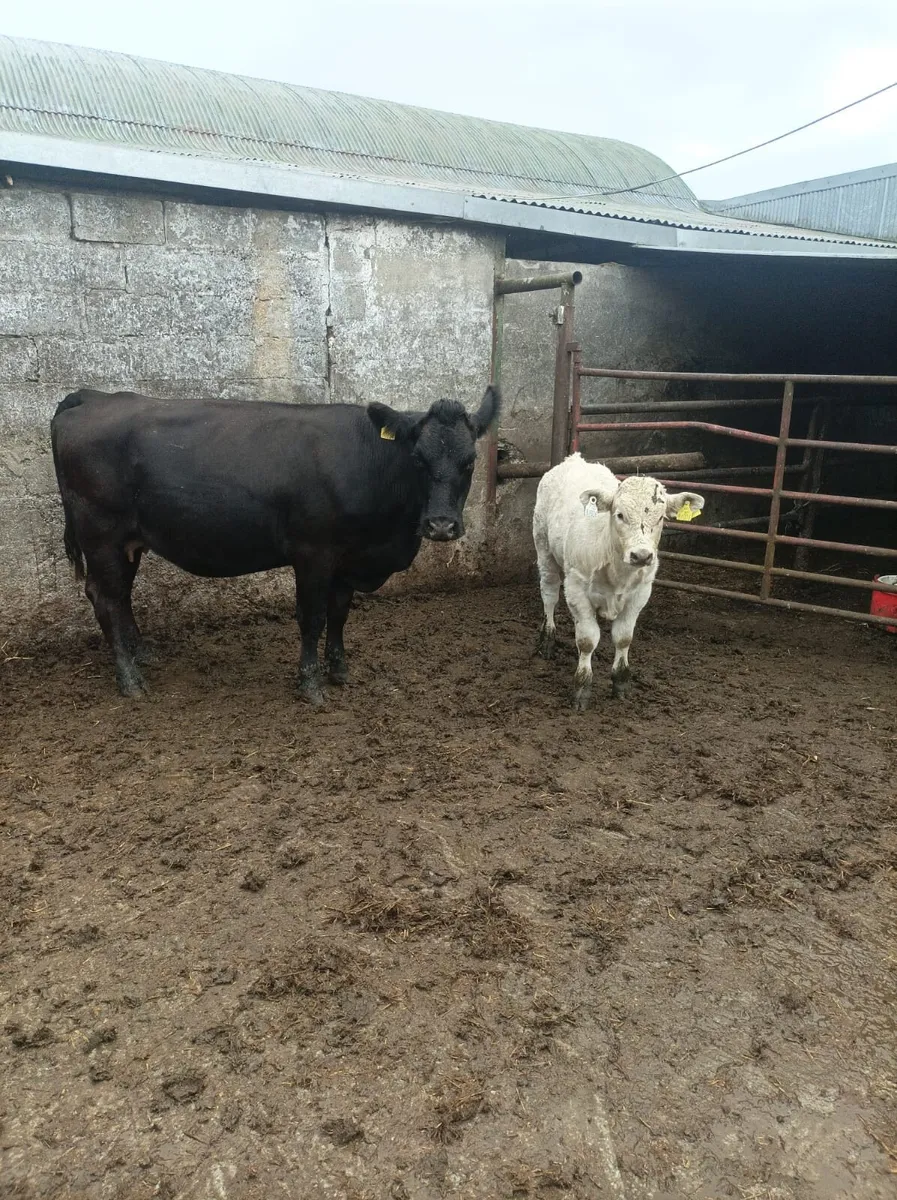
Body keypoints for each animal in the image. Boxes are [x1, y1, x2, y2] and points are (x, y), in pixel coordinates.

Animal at [50, 385, 500, 701]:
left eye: (470, 461)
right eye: (418, 459)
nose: (440, 525)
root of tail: (91, 397)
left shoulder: (348, 558)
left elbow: (340, 614)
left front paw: (340, 672)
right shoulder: (314, 552)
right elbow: (312, 617)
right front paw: (310, 685)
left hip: (129, 542)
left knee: (121, 597)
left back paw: (144, 654)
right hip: (101, 535)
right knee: (105, 598)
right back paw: (130, 679)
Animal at [532, 453, 704, 710]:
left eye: (660, 517)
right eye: (620, 515)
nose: (641, 555)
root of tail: (574, 459)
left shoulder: (640, 593)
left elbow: (623, 638)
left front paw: (621, 682)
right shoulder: (576, 588)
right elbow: (587, 639)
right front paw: (581, 687)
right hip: (544, 549)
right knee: (550, 596)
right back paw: (548, 640)